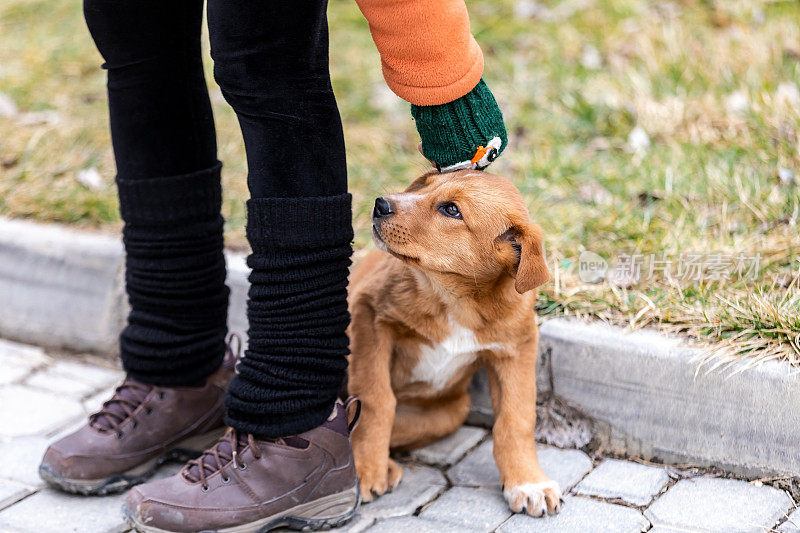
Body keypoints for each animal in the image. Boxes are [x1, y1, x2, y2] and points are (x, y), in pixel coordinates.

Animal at [346, 169, 560, 516]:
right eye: (425, 185)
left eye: (451, 210)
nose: (380, 204)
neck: (455, 299)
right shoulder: (370, 314)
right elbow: (375, 399)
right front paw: (365, 469)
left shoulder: (517, 350)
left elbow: (516, 418)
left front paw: (528, 482)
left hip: (451, 411)